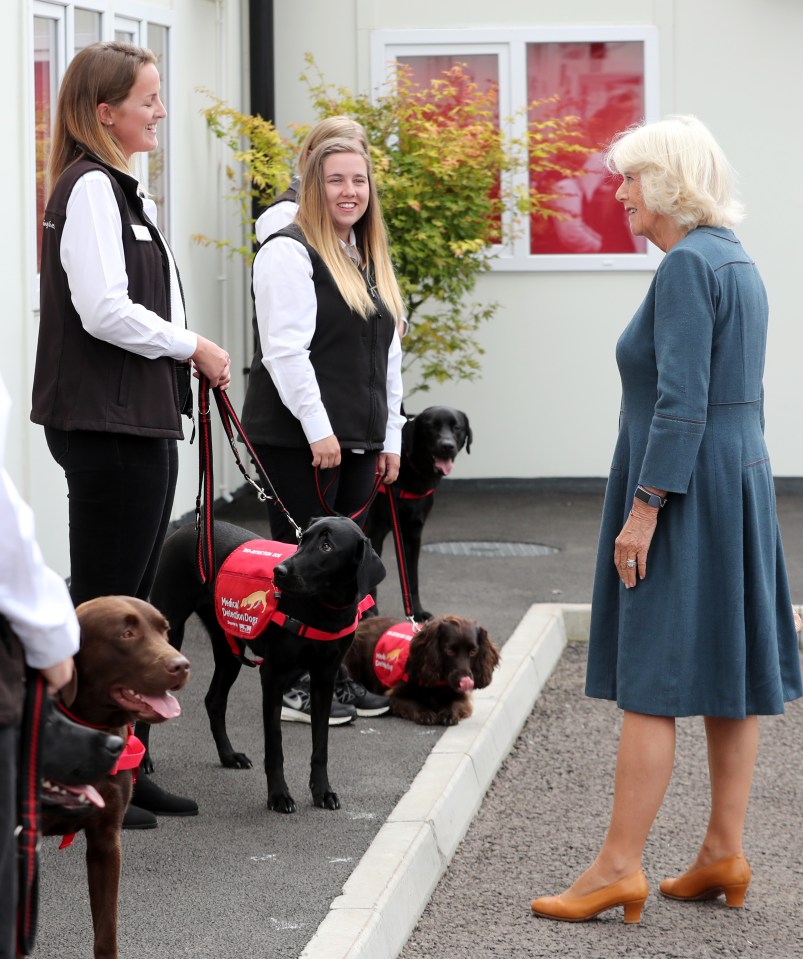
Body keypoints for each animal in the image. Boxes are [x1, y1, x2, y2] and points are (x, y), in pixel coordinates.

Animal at [140, 520, 384, 812]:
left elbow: (321, 746)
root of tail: (190, 526)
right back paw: (143, 760)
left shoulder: (324, 679)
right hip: (170, 634)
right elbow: (275, 745)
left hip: (229, 649)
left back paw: (229, 755)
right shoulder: (273, 676)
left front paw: (322, 791)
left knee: (214, 700)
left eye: (326, 546)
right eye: (302, 540)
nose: (279, 571)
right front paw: (279, 795)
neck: (325, 608)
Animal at [348, 620, 500, 724]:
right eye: (449, 651)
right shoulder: (393, 696)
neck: (439, 681)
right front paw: (425, 713)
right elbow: (412, 703)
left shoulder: (461, 697)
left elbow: (454, 703)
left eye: (473, 651)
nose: (465, 681)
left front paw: (448, 713)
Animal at [364, 402, 472, 620]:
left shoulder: (413, 533)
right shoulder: (375, 531)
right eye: (431, 426)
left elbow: (412, 578)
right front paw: (371, 611)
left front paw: (417, 611)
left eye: (457, 427)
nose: (447, 446)